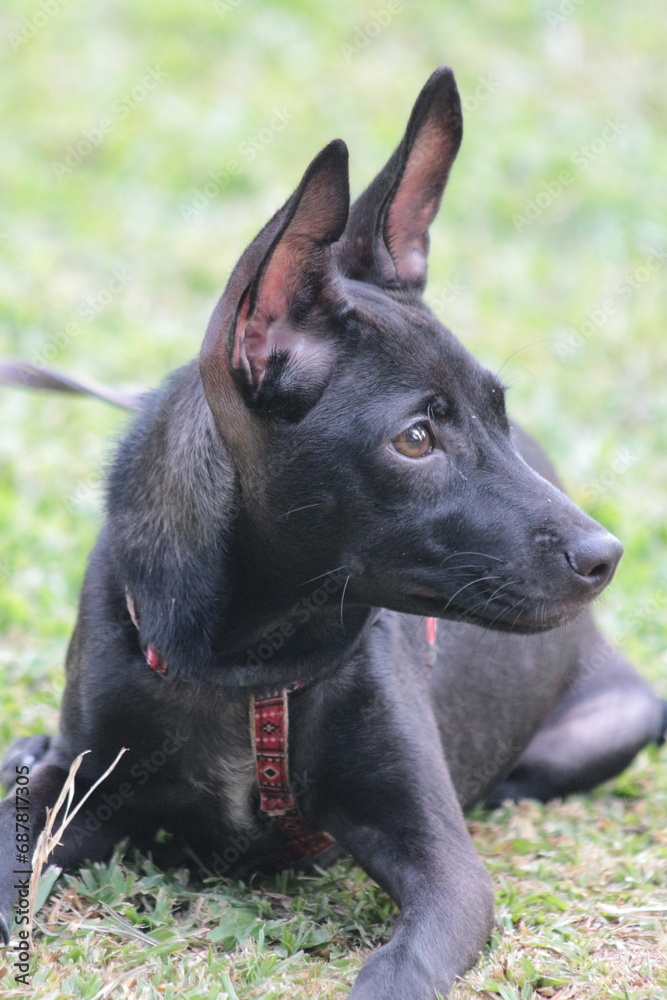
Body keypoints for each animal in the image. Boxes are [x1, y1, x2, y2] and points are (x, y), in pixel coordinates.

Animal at [1, 66, 667, 996]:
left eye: (499, 413)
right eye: (415, 439)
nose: (605, 557)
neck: (245, 662)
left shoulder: (442, 862)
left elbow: (399, 967)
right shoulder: (79, 783)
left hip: (617, 721)